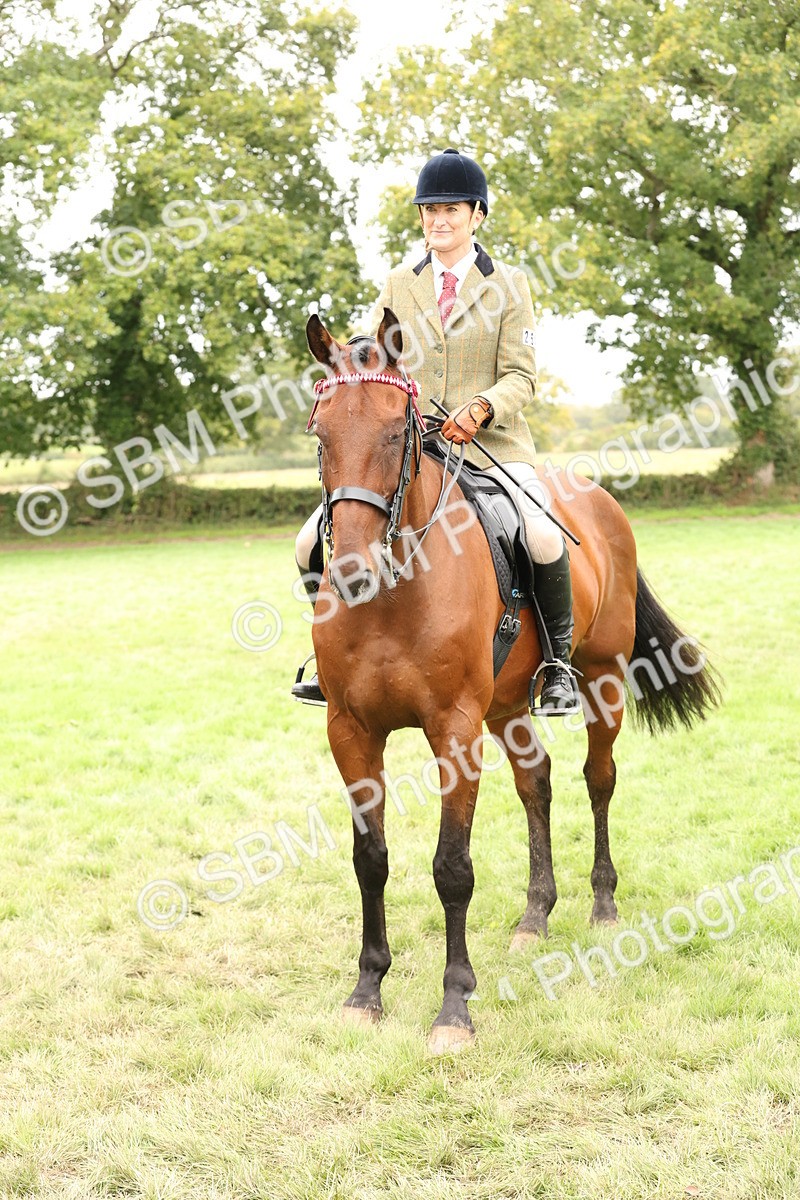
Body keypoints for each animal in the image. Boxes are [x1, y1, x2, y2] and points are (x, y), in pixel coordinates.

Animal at [303, 308, 720, 1053]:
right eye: (321, 436)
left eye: (395, 432)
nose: (350, 571)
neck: (396, 589)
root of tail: (598, 499)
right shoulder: (349, 729)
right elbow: (370, 857)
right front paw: (366, 990)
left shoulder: (453, 730)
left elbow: (451, 867)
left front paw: (453, 1009)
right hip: (504, 709)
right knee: (538, 783)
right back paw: (535, 917)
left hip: (601, 680)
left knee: (598, 779)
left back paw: (602, 904)